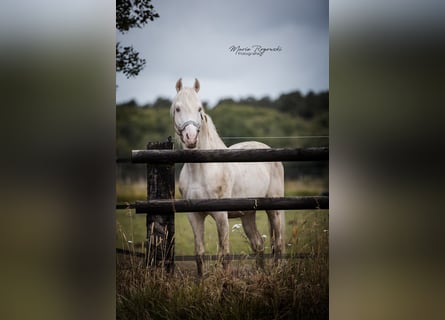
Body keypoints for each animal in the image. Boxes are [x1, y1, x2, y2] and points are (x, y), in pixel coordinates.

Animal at [170, 78, 284, 276]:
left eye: (199, 109)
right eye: (178, 108)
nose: (191, 138)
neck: (202, 170)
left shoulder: (221, 216)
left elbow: (224, 254)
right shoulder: (194, 216)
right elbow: (199, 253)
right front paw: (201, 280)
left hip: (274, 210)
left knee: (277, 244)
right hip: (248, 214)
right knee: (258, 244)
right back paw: (260, 274)